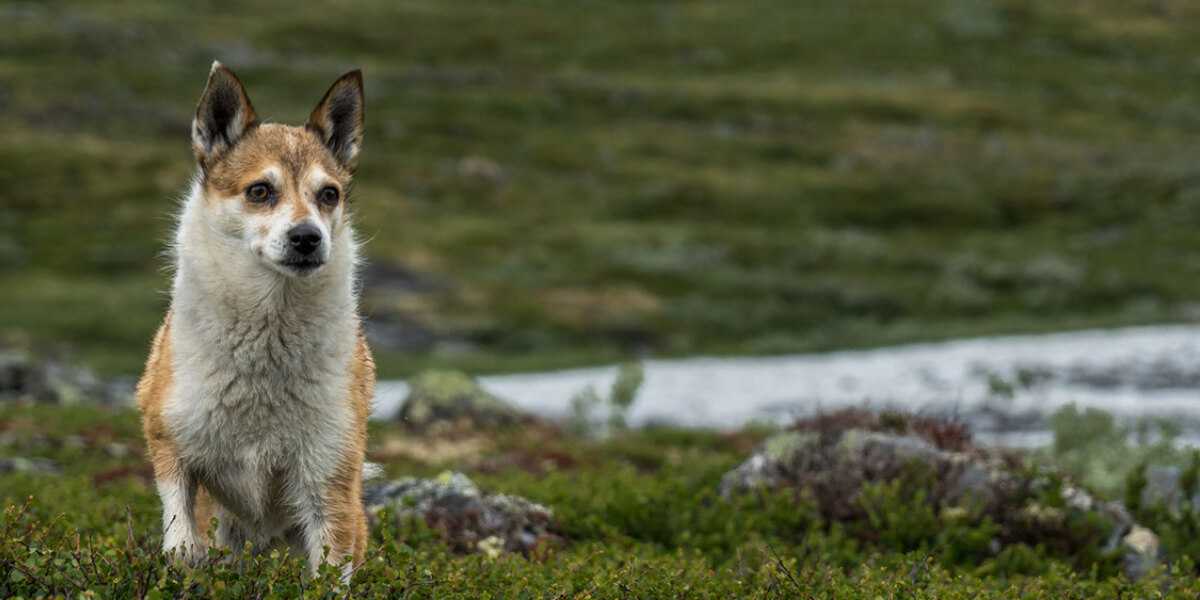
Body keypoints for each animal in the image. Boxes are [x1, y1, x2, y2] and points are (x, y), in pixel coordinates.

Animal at [135, 62, 374, 580]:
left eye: (329, 195)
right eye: (260, 191)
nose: (307, 238)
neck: (265, 336)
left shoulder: (328, 478)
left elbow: (329, 573)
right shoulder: (169, 439)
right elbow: (180, 525)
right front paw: (184, 561)